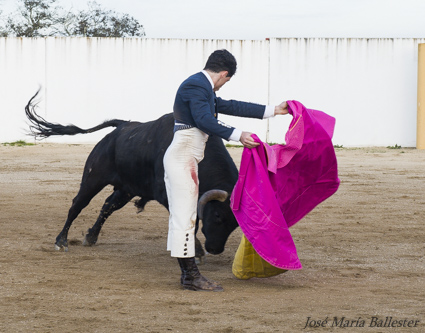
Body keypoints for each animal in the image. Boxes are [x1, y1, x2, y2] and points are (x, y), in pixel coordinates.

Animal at [25, 91, 238, 260]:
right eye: (217, 215)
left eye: (236, 224)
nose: (215, 249)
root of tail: (120, 126)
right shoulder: (167, 194)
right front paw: (198, 251)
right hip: (93, 178)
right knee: (77, 205)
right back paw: (61, 241)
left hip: (126, 188)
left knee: (108, 205)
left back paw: (91, 236)